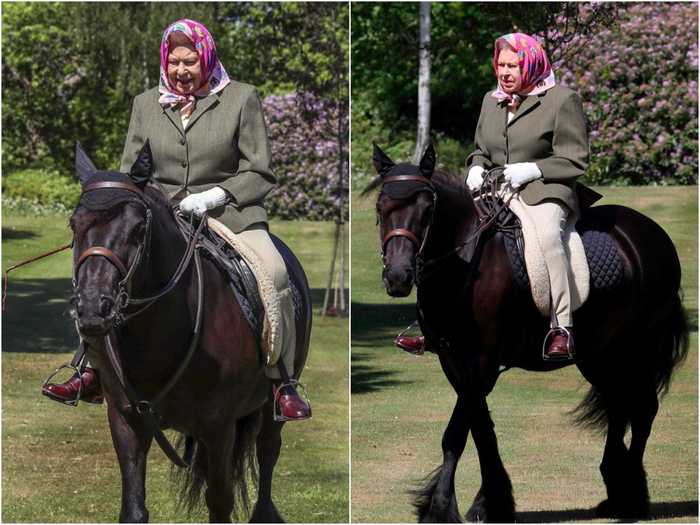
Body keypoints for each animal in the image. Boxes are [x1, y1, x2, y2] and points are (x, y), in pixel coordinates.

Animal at [71, 141, 312, 520]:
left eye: (138, 228)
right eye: (74, 225)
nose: (94, 308)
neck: (157, 334)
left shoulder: (219, 427)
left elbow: (220, 502)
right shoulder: (126, 421)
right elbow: (134, 508)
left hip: (273, 407)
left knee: (268, 450)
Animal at [372, 142, 688, 520]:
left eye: (427, 208)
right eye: (380, 207)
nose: (398, 277)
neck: (466, 262)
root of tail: (652, 234)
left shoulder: (481, 362)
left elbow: (456, 434)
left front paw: (441, 508)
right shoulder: (454, 362)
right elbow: (482, 431)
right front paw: (491, 503)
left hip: (639, 348)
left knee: (642, 410)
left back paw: (632, 498)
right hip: (601, 355)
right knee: (618, 406)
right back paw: (616, 491)